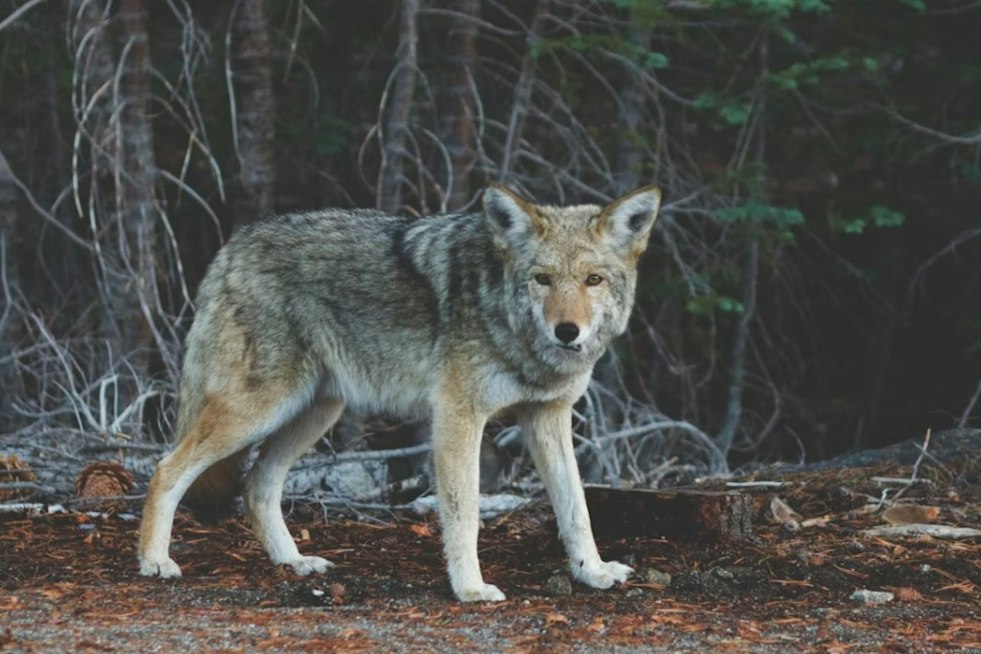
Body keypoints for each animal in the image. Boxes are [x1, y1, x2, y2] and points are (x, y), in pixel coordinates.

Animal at [138, 183, 662, 602]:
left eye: (593, 280)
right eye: (543, 279)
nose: (567, 331)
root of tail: (233, 244)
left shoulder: (547, 417)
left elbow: (577, 508)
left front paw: (593, 572)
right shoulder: (458, 417)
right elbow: (465, 513)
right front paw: (470, 589)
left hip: (315, 413)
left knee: (256, 485)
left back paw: (294, 563)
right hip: (259, 410)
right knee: (167, 468)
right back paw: (155, 561)